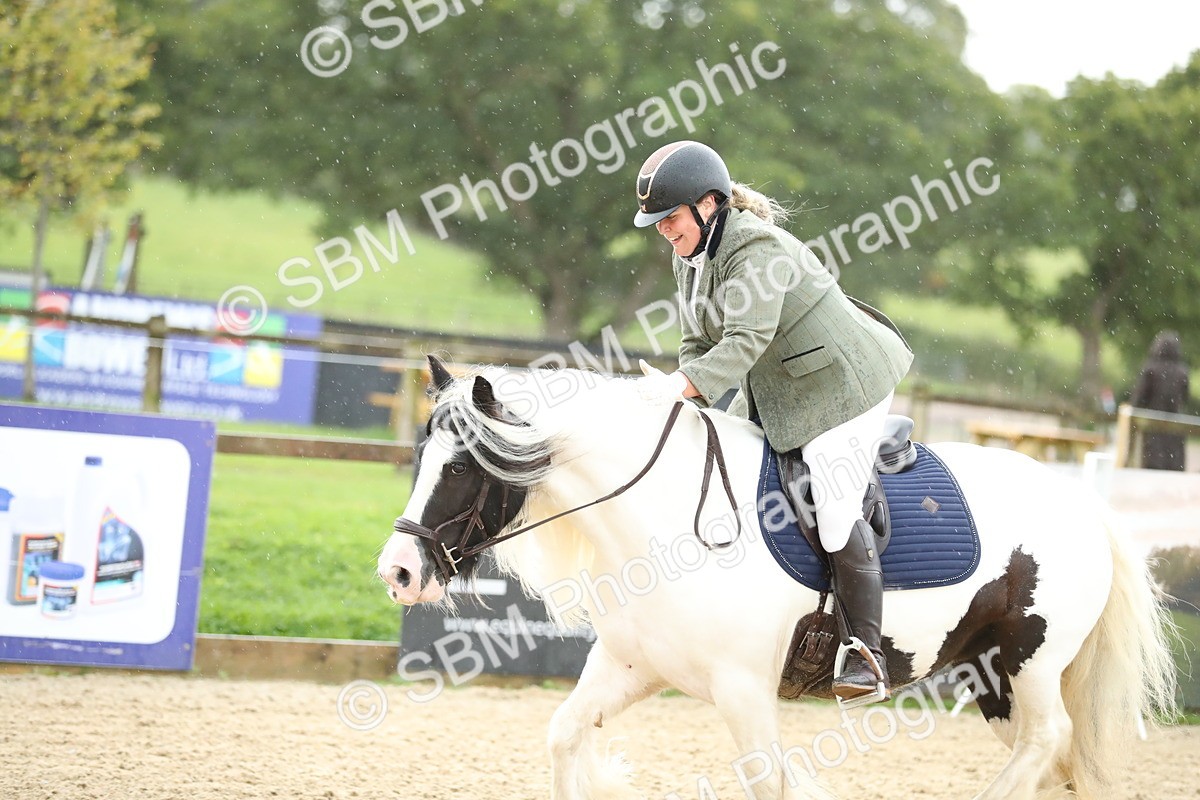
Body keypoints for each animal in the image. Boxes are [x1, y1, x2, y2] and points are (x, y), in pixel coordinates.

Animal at [377, 356, 1177, 800]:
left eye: (460, 468)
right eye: (419, 457)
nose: (398, 571)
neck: (659, 514)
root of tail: (1083, 503)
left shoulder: (743, 690)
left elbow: (770, 782)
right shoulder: (631, 666)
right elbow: (564, 736)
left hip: (1028, 660)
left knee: (1047, 740)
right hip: (989, 675)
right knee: (1046, 753)